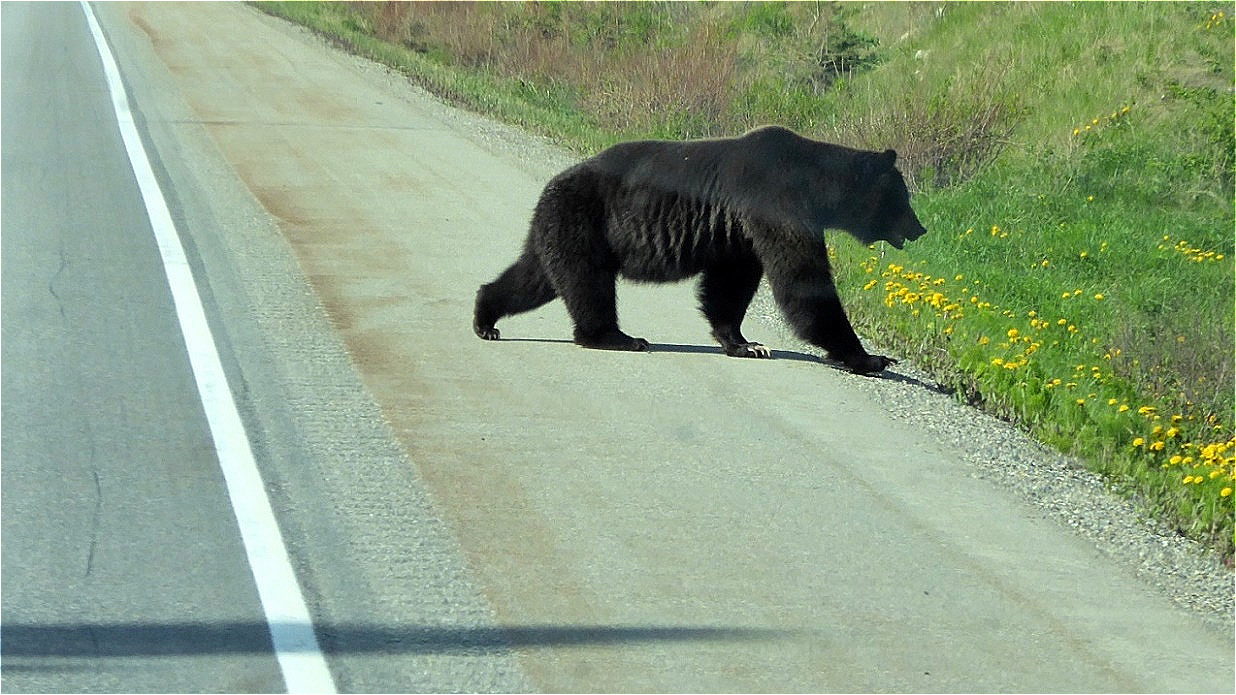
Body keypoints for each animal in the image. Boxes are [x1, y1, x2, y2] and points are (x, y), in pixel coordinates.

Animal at [473, 125, 927, 375]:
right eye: (903, 198)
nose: (920, 228)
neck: (815, 185)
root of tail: (549, 186)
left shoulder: (738, 233)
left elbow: (730, 284)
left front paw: (745, 343)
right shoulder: (774, 201)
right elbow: (803, 282)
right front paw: (869, 358)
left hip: (561, 230)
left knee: (534, 278)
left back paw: (486, 317)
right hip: (585, 223)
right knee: (588, 286)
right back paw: (616, 336)